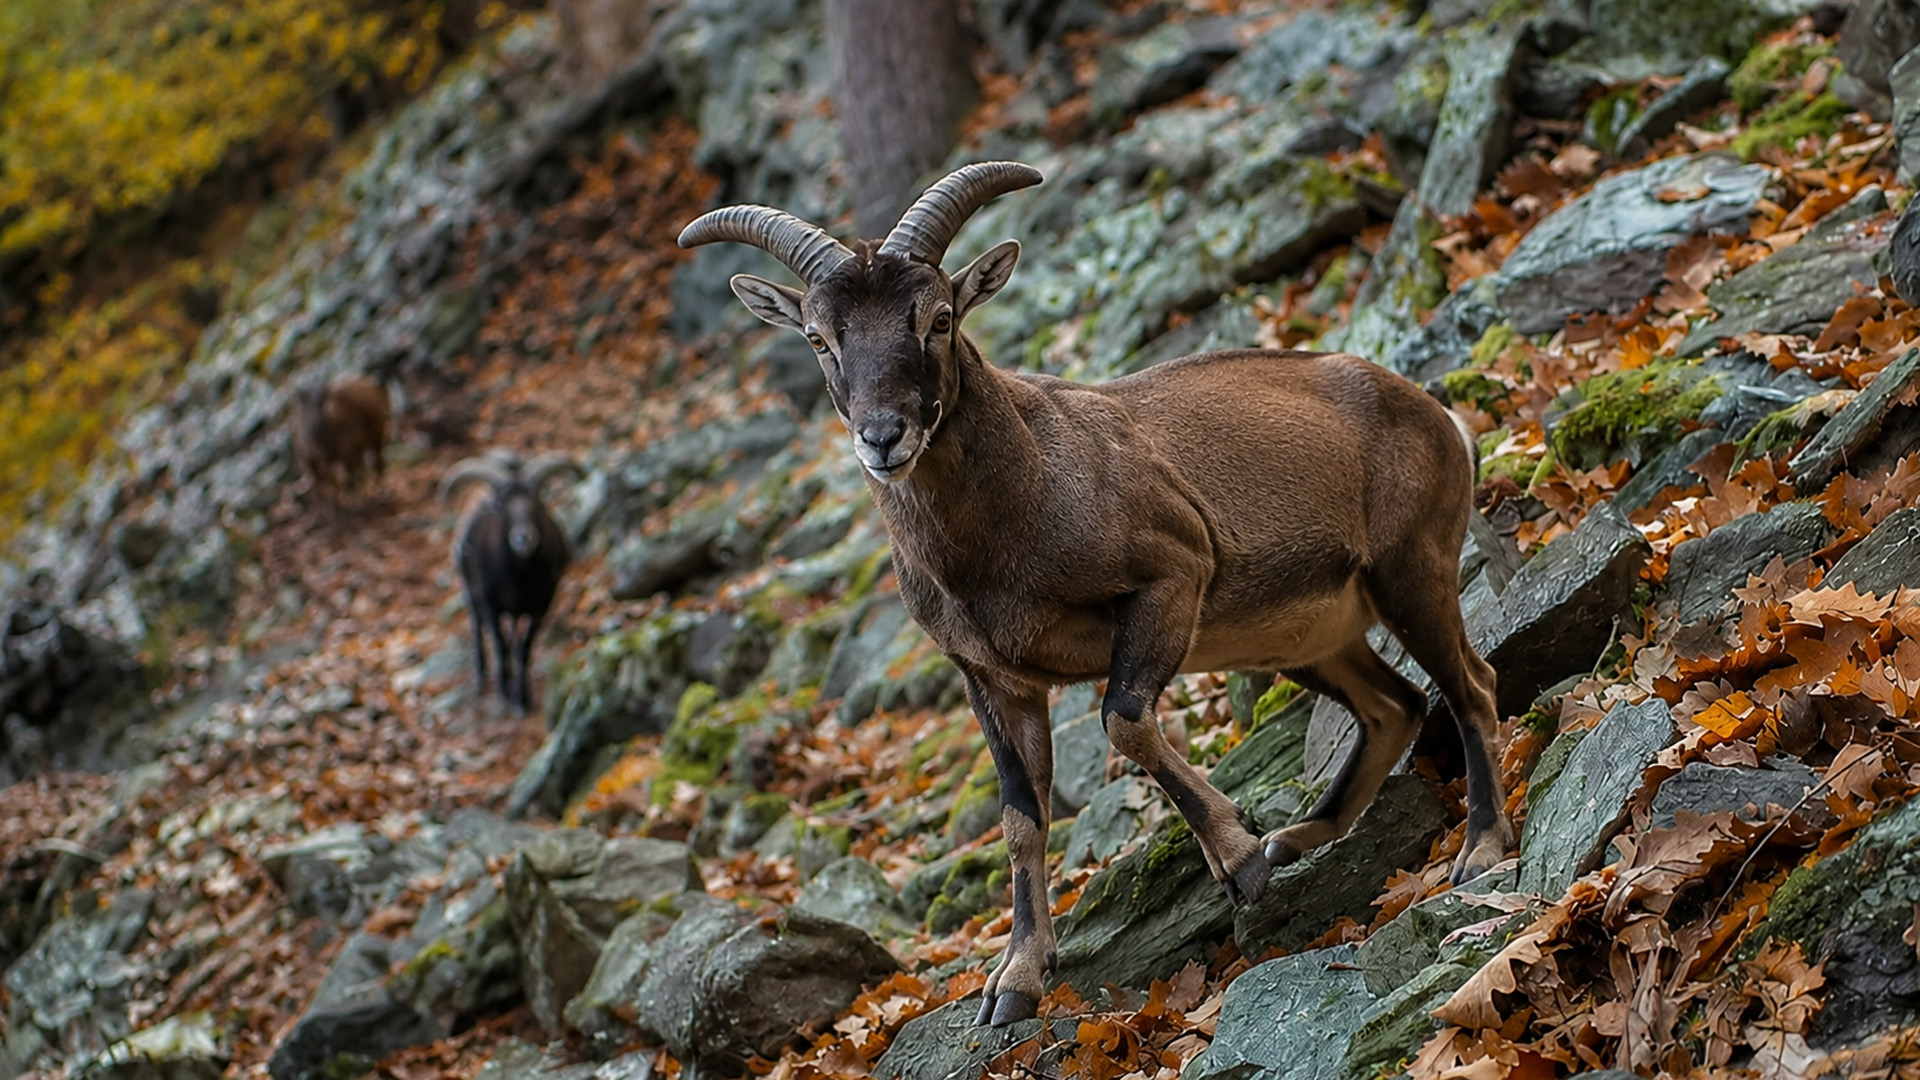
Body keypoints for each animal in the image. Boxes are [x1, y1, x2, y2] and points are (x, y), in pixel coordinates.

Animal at [290, 374, 391, 504]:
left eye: (321, 404)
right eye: (302, 407)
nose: (314, 428)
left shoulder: (345, 453)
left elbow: (344, 477)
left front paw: (348, 498)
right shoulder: (307, 462)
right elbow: (320, 483)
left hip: (377, 435)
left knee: (376, 462)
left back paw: (379, 490)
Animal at [440, 451, 581, 712]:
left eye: (537, 503)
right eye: (502, 506)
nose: (524, 538)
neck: (518, 578)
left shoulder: (542, 604)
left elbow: (523, 648)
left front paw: (522, 699)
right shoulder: (490, 603)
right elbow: (500, 644)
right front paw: (504, 692)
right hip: (470, 590)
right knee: (477, 625)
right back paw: (481, 676)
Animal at [678, 162, 1512, 1026]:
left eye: (939, 316)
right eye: (818, 336)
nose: (883, 437)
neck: (1015, 516)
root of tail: (1437, 416)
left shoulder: (1171, 576)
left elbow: (1125, 722)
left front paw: (1239, 860)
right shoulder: (994, 679)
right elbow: (1021, 815)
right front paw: (1014, 981)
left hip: (1411, 568)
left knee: (1469, 685)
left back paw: (1478, 848)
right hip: (1306, 636)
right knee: (1394, 706)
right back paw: (1307, 835)